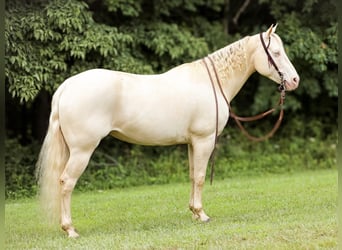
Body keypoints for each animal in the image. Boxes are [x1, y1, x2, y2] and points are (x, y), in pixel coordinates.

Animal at [36, 24, 300, 237]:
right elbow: (201, 177)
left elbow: (193, 176)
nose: (295, 81)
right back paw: (70, 230)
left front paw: (194, 212)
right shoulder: (204, 141)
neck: (210, 83)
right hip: (82, 151)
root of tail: (67, 87)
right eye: (276, 53)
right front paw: (203, 215)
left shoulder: (193, 143)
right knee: (66, 183)